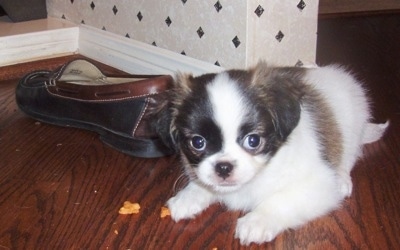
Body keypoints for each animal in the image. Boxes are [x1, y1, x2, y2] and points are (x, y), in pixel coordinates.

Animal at [154, 61, 388, 245]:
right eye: (198, 142)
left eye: (253, 141)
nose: (224, 167)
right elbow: (204, 183)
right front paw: (188, 196)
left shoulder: (318, 185)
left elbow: (282, 200)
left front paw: (258, 220)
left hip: (354, 122)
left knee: (349, 154)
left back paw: (342, 178)